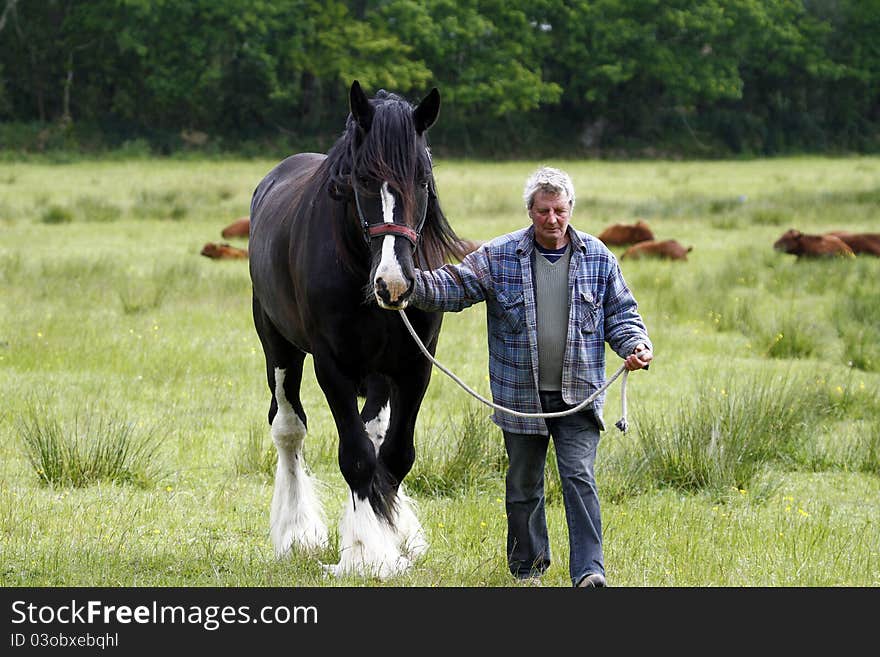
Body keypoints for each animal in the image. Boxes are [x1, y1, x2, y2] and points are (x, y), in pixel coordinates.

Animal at [248, 80, 468, 576]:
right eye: (363, 180)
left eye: (423, 179)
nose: (394, 282)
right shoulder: (334, 368)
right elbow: (357, 459)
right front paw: (367, 553)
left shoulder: (414, 367)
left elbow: (395, 454)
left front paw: (392, 537)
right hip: (278, 347)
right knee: (288, 427)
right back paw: (296, 533)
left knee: (377, 433)